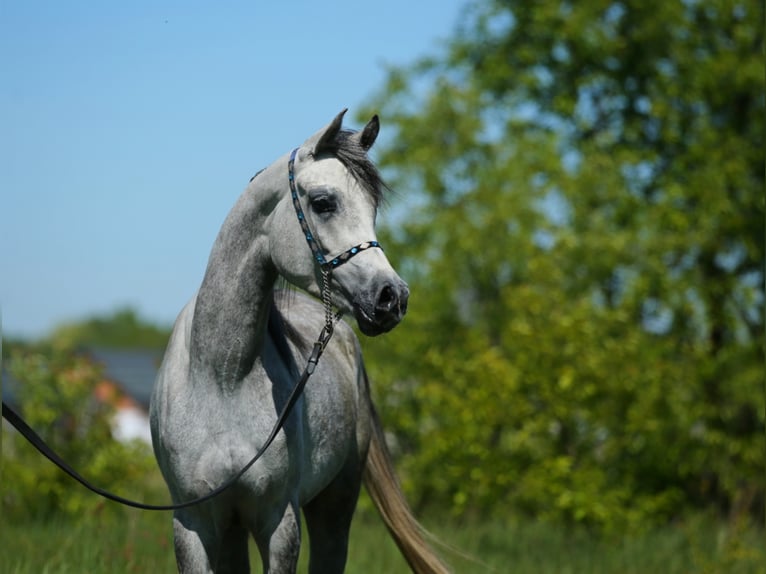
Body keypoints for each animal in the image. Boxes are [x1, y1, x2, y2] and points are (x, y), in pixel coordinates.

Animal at [151, 110, 450, 572]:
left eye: (372, 208)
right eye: (324, 203)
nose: (392, 297)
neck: (222, 377)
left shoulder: (280, 521)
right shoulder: (193, 524)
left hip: (335, 507)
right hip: (233, 529)